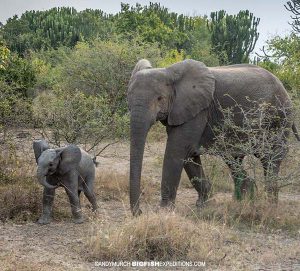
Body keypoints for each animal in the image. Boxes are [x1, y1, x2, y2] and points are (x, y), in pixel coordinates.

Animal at [127, 59, 298, 217]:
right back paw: (242, 201)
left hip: (280, 117)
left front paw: (164, 211)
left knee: (270, 158)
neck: (170, 72)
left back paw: (269, 206)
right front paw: (204, 204)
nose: (140, 212)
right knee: (234, 159)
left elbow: (176, 151)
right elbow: (189, 156)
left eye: (159, 98)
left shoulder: (198, 110)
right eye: (129, 97)